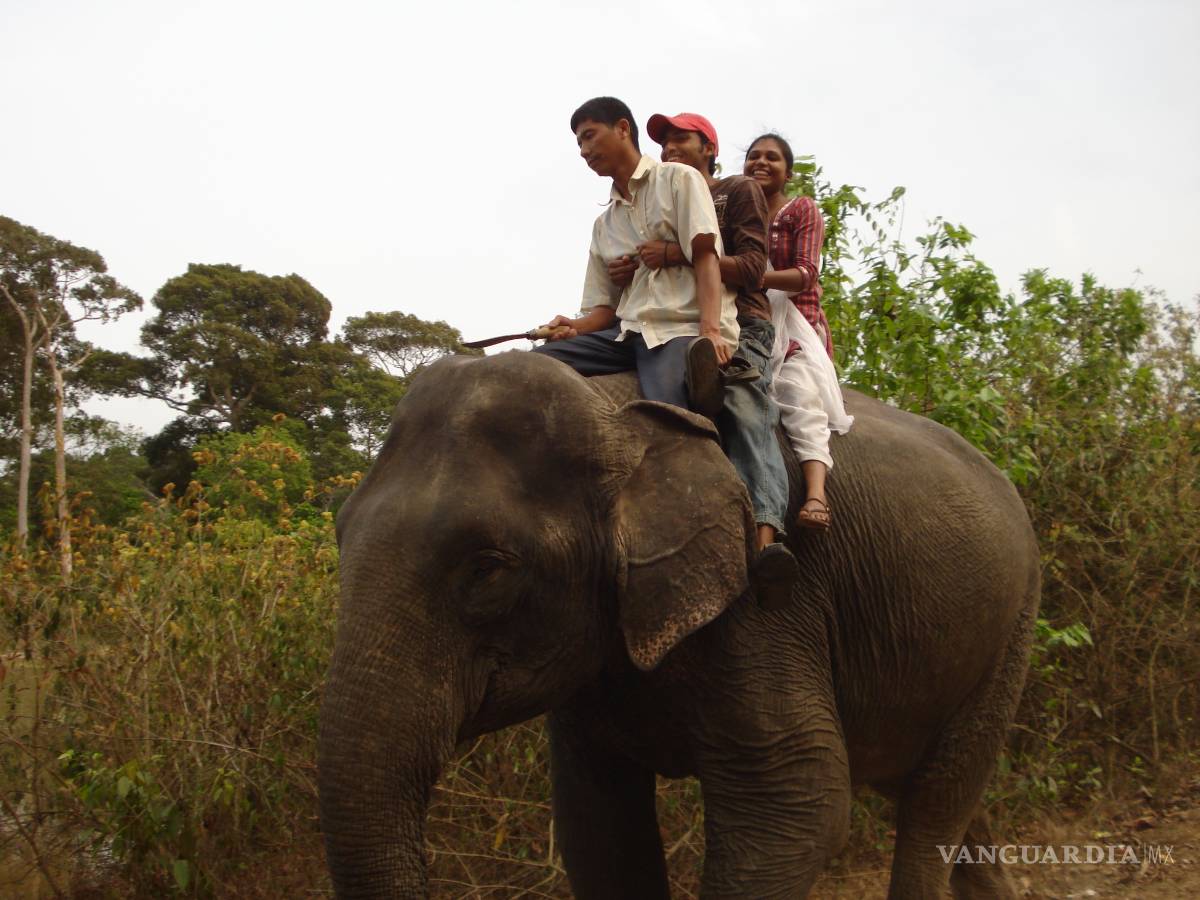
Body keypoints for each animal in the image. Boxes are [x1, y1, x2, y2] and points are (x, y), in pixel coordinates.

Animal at [318, 349, 1041, 899]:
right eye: (341, 532)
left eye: (489, 567)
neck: (613, 412)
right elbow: (598, 824)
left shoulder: (766, 597)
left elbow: (795, 805)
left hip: (1010, 633)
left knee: (939, 798)